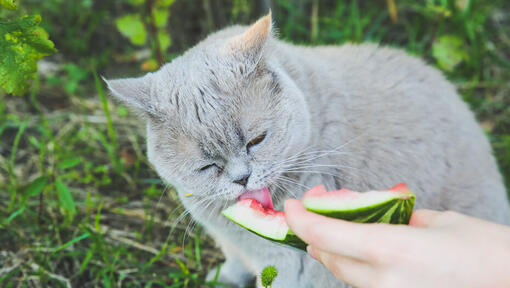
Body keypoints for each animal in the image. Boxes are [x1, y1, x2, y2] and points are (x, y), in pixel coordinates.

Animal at [103, 11, 510, 288]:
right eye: (207, 166)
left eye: (256, 140)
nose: (242, 178)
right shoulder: (231, 243)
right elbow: (233, 262)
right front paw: (224, 277)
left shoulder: (291, 268)